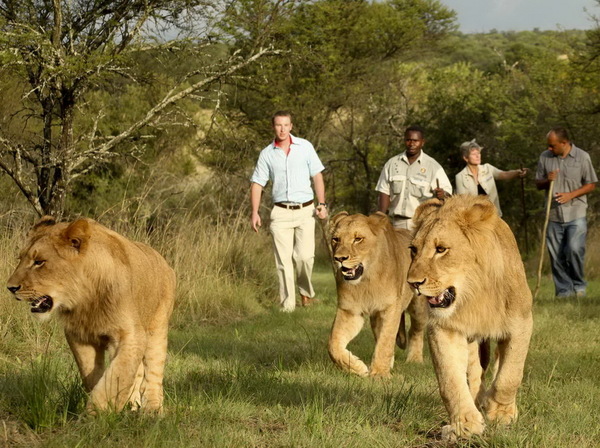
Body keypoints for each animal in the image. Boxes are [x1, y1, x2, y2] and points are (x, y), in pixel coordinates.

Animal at [7, 216, 176, 412]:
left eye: (39, 261)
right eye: (20, 259)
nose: (10, 287)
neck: (86, 300)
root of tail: (164, 261)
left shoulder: (131, 335)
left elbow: (116, 375)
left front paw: (97, 412)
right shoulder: (80, 337)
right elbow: (94, 376)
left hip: (157, 329)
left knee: (154, 373)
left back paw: (153, 409)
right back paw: (132, 404)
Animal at [328, 213, 426, 378]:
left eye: (358, 239)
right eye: (336, 239)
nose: (339, 258)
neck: (366, 281)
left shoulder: (390, 308)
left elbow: (385, 341)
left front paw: (379, 373)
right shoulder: (350, 311)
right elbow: (333, 344)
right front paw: (358, 368)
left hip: (418, 308)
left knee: (415, 331)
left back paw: (415, 359)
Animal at [408, 194, 528, 440]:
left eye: (441, 249)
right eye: (413, 250)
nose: (413, 283)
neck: (474, 295)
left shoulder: (521, 323)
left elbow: (510, 375)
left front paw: (500, 413)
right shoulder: (444, 329)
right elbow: (450, 380)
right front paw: (465, 424)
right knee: (474, 373)